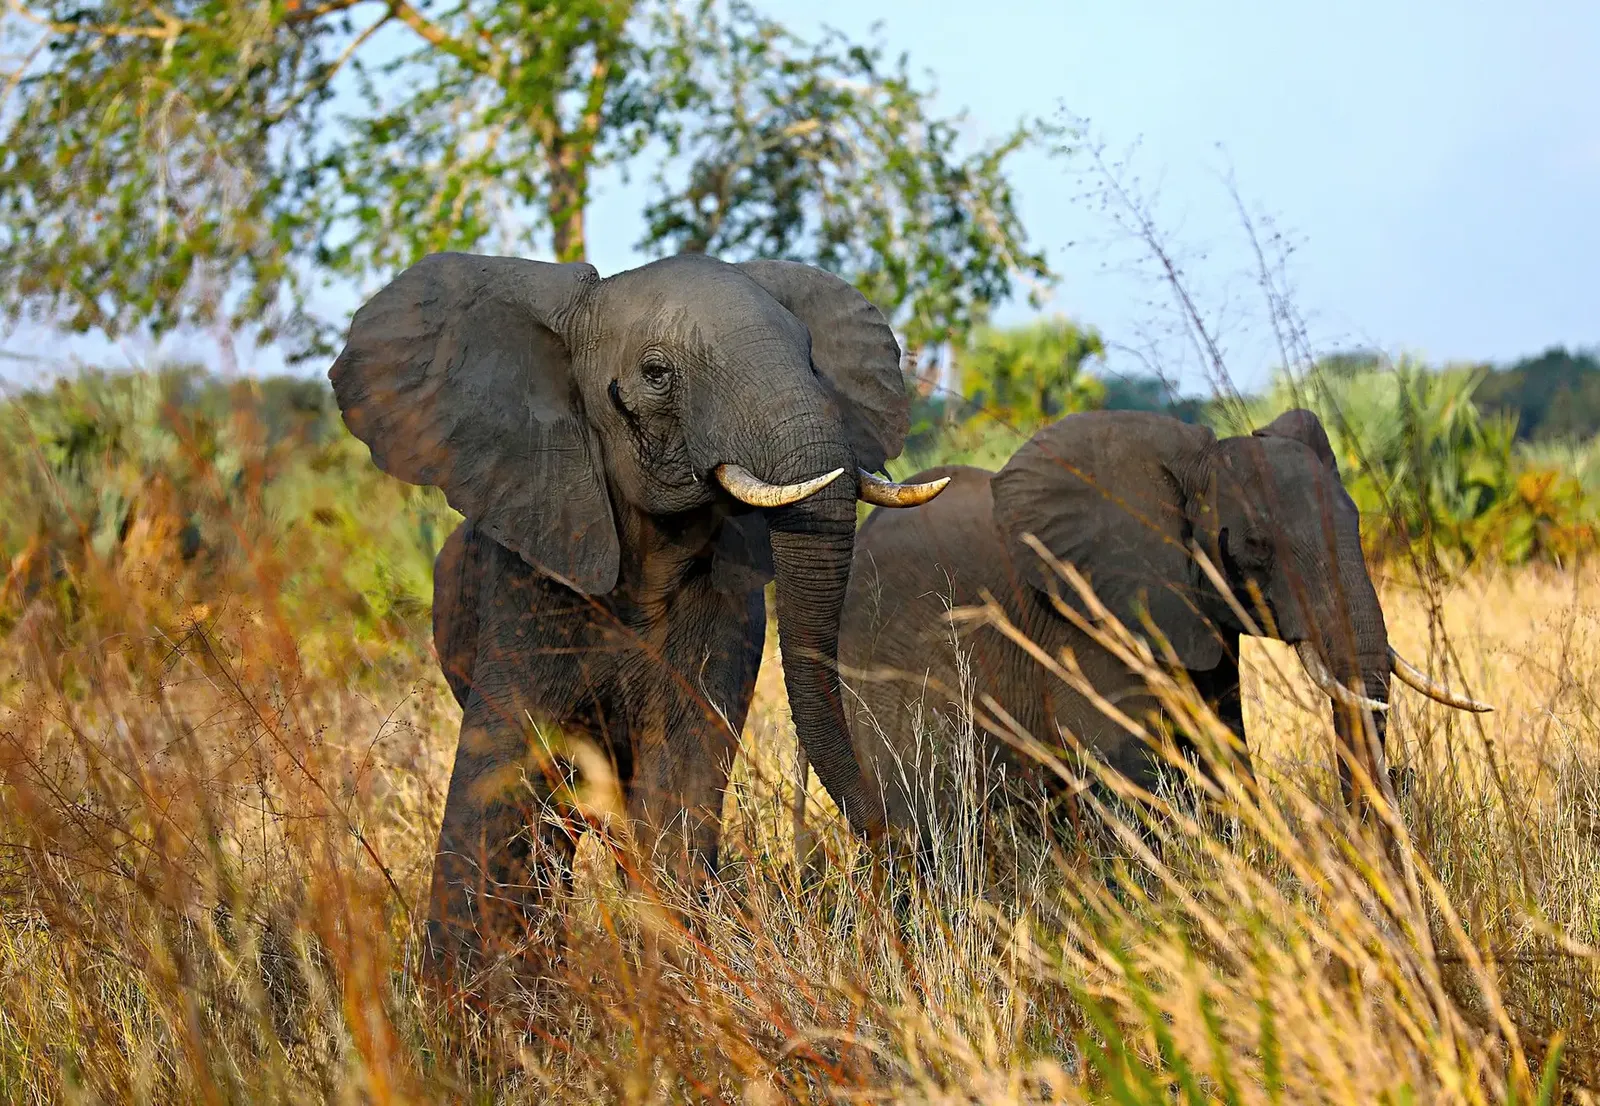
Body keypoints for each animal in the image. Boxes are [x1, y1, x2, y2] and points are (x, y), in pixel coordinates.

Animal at [327, 249, 949, 978]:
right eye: (656, 373)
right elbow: (507, 769)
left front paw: (681, 972)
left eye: (812, 359)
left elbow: (679, 770)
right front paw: (471, 999)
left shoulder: (720, 610)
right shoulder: (530, 584)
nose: (904, 848)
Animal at [837, 408, 1488, 858]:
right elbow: (1129, 769)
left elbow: (1222, 750)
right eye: (1255, 546)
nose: (1402, 779)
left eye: (1355, 523)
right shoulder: (1086, 618)